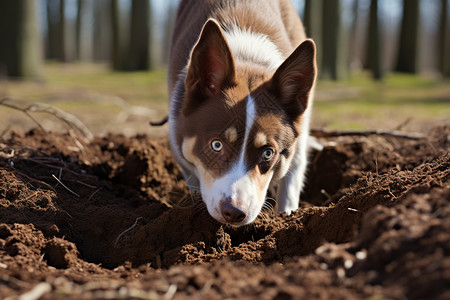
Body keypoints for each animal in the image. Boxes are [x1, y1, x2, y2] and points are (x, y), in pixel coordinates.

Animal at [168, 0, 316, 225]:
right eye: (216, 145)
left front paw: (286, 218)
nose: (234, 212)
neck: (246, 59)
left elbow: (293, 175)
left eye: (268, 153)